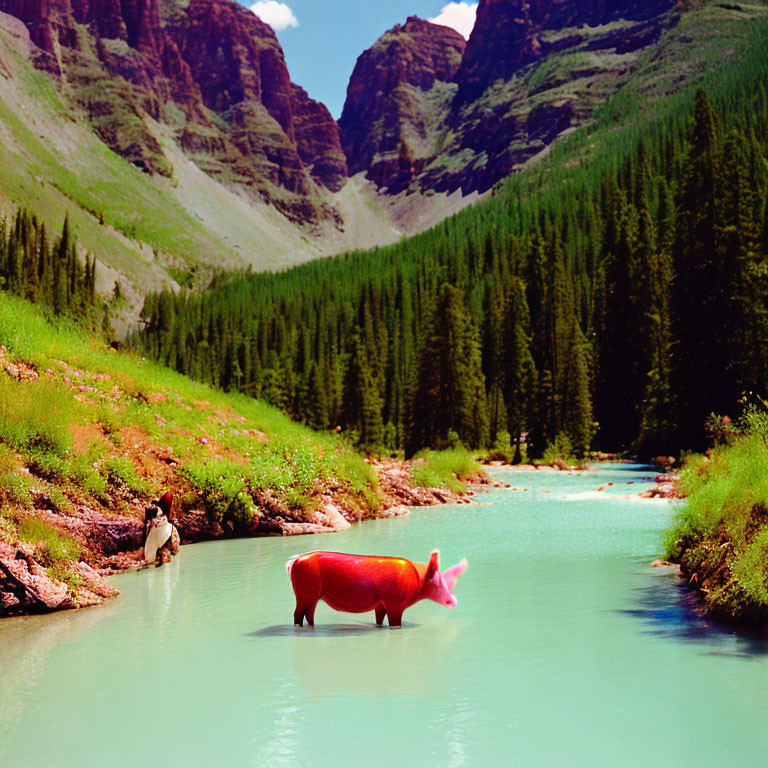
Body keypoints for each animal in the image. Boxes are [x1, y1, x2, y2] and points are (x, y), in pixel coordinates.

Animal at [288, 548, 468, 628]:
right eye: (438, 582)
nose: (454, 601)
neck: (418, 581)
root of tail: (295, 560)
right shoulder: (395, 604)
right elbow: (395, 624)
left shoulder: (381, 604)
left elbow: (379, 619)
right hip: (305, 593)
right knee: (297, 613)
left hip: (313, 596)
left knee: (309, 614)